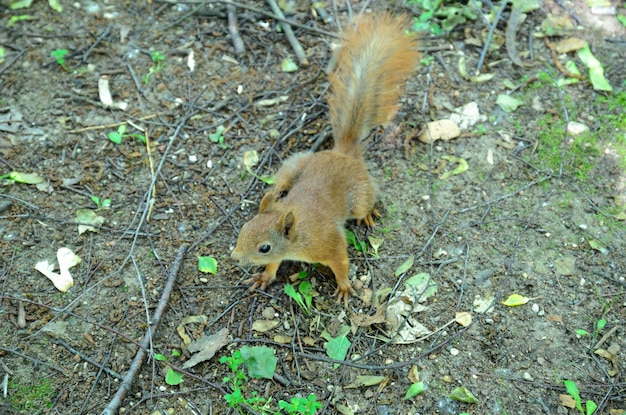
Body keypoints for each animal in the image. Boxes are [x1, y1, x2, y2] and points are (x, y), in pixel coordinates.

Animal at [230, 13, 420, 304]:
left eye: (264, 247)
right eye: (243, 228)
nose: (235, 258)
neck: (297, 235)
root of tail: (342, 152)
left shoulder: (328, 242)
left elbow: (341, 262)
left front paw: (343, 287)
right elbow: (275, 266)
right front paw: (264, 276)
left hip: (359, 196)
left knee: (367, 200)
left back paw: (367, 214)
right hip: (296, 166)